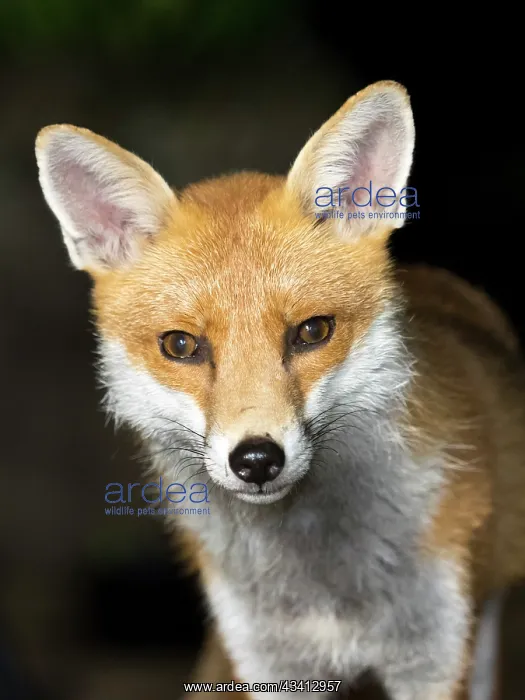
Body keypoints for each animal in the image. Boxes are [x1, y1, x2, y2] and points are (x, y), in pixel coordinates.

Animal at [34, 81, 525, 700]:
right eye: (180, 345)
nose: (257, 460)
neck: (323, 586)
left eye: (312, 331)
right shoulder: (269, 663)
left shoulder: (434, 656)